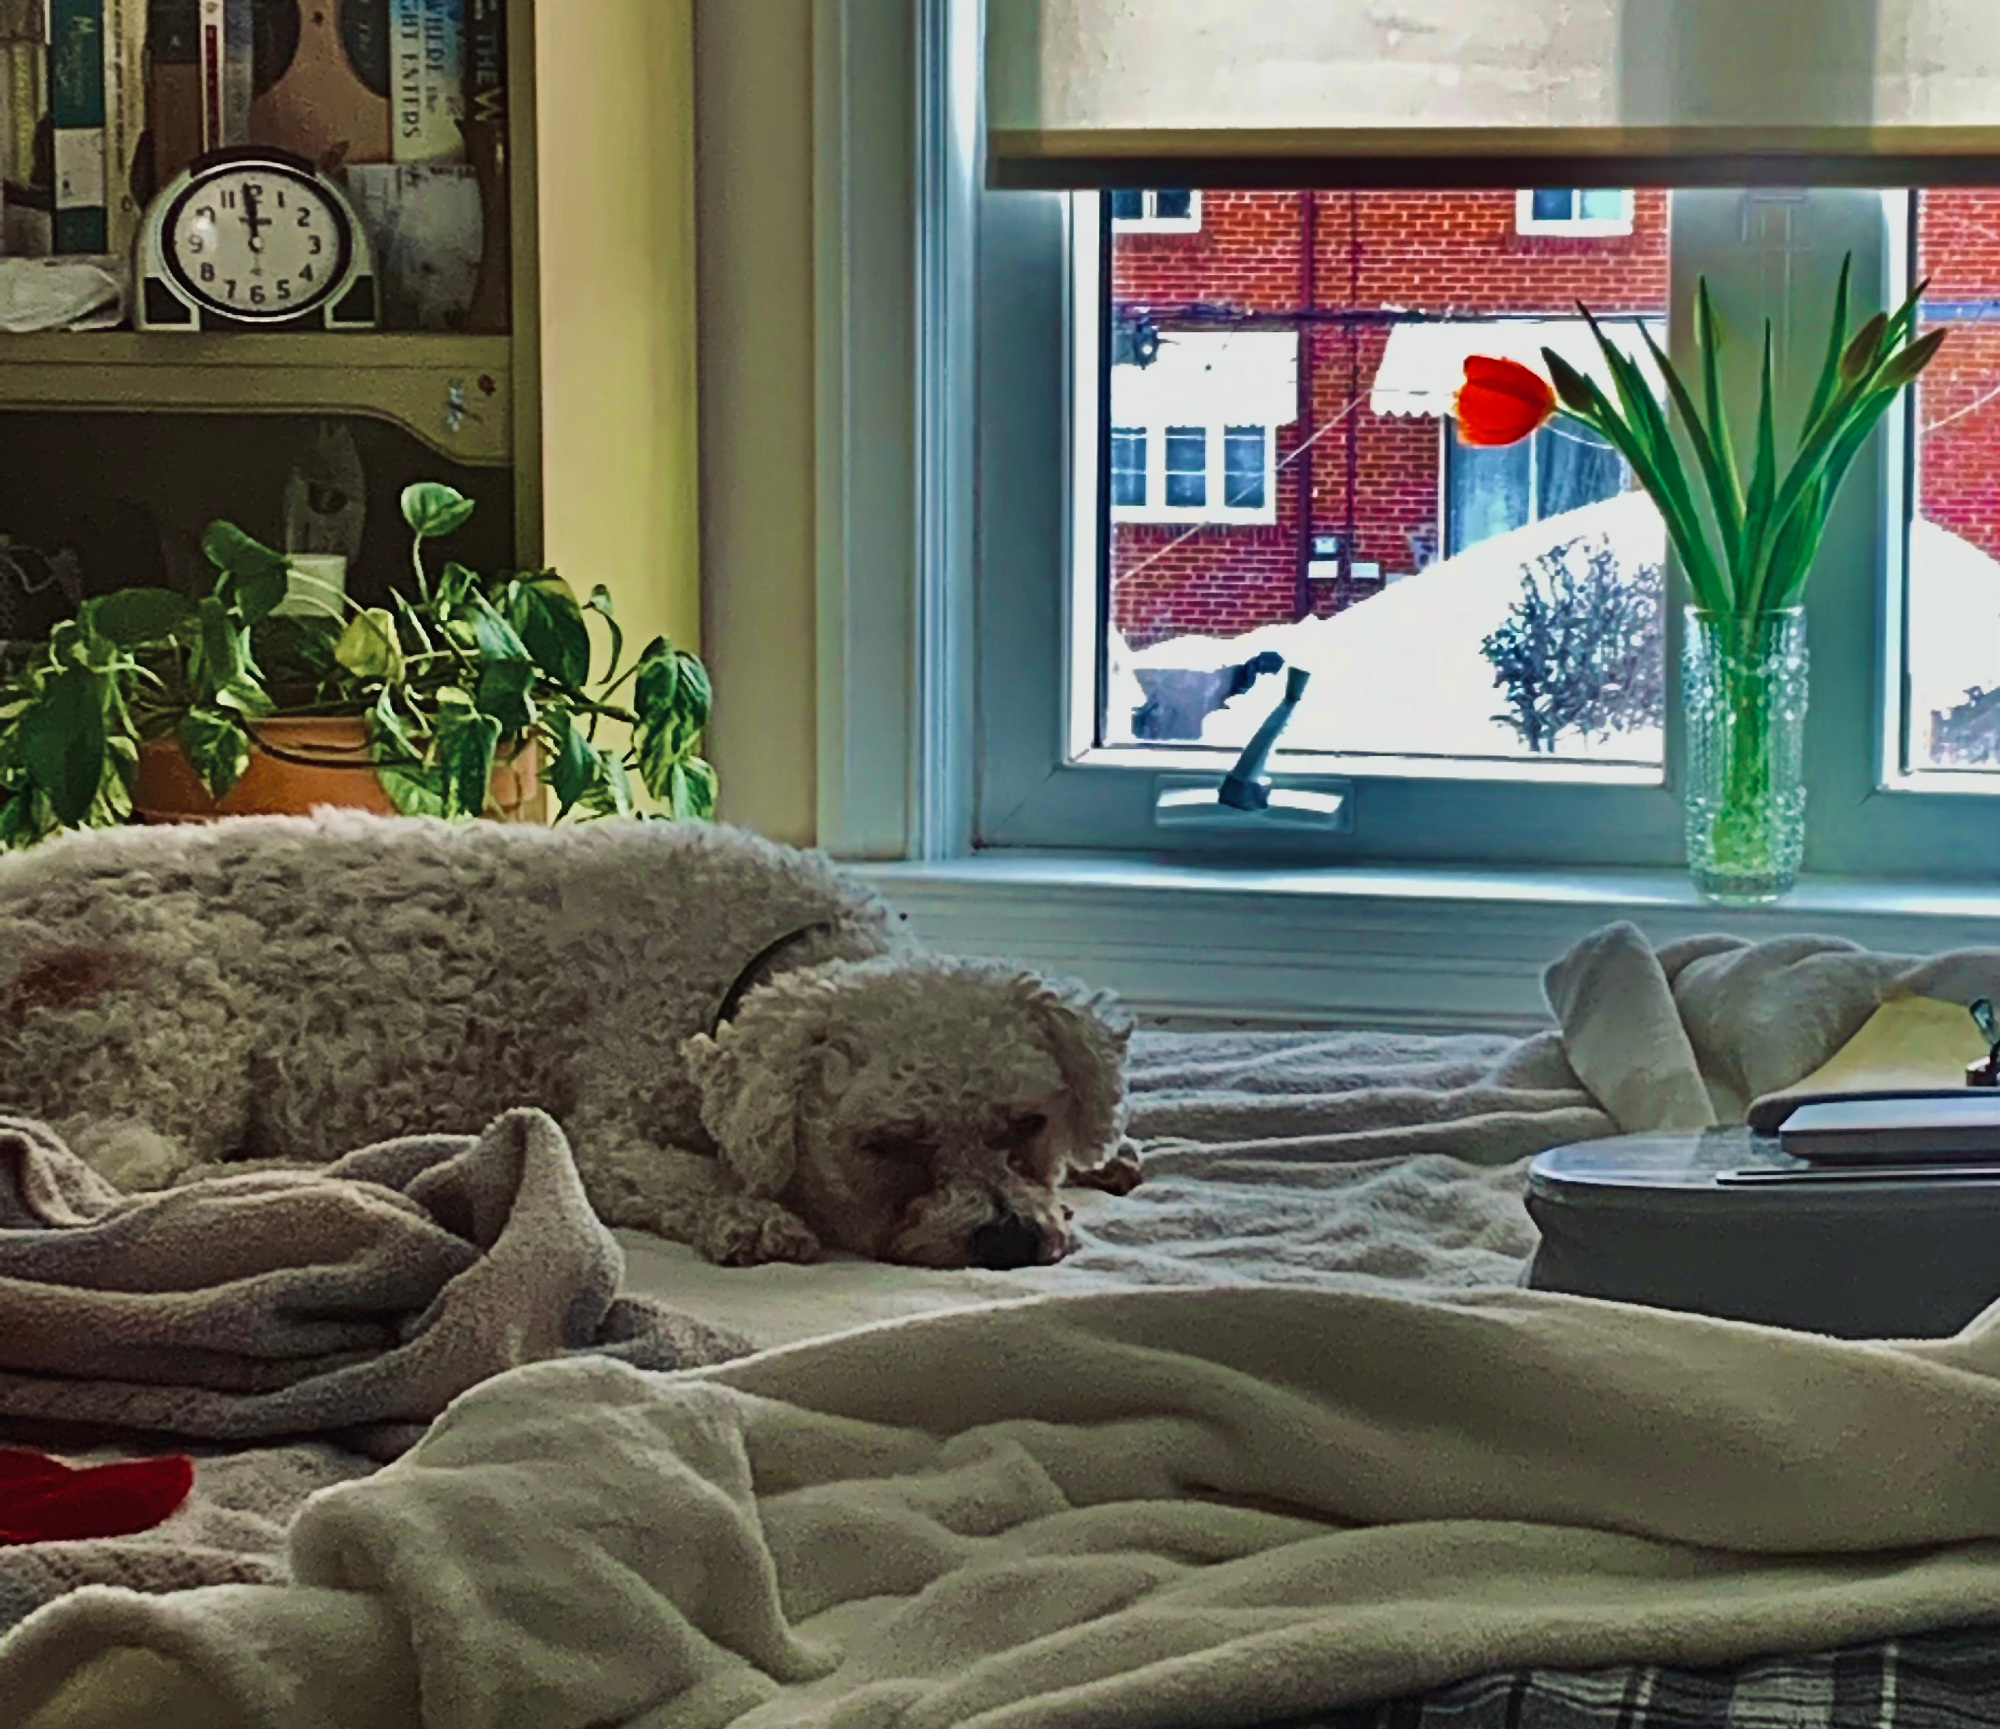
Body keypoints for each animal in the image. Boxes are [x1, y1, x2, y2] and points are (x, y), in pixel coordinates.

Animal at [0, 812, 1138, 1268]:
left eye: (1027, 1123)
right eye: (887, 1144)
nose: (1005, 1239)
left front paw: (1113, 1154)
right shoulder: (610, 1126)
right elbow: (676, 1173)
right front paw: (745, 1213)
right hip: (168, 1009)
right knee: (120, 1165)